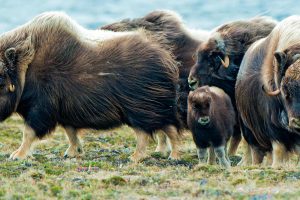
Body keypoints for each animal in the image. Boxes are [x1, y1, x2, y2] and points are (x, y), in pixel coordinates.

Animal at [0, 11, 180, 162]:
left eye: (1, 79)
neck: (26, 67)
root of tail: (165, 56)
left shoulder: (40, 107)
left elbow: (28, 132)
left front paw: (18, 155)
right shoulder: (65, 110)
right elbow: (70, 132)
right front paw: (73, 151)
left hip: (140, 108)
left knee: (154, 132)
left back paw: (156, 156)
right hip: (148, 109)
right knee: (162, 130)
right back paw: (160, 153)